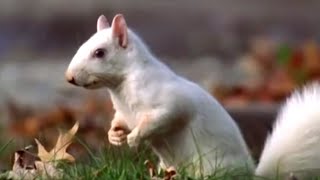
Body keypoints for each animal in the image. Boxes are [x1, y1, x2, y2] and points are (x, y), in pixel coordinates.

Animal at [65, 13, 320, 179]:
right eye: (83, 45)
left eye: (99, 53)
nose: (69, 77)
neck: (120, 88)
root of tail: (250, 174)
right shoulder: (123, 112)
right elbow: (119, 121)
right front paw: (114, 136)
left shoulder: (169, 102)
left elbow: (163, 117)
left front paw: (135, 138)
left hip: (212, 166)